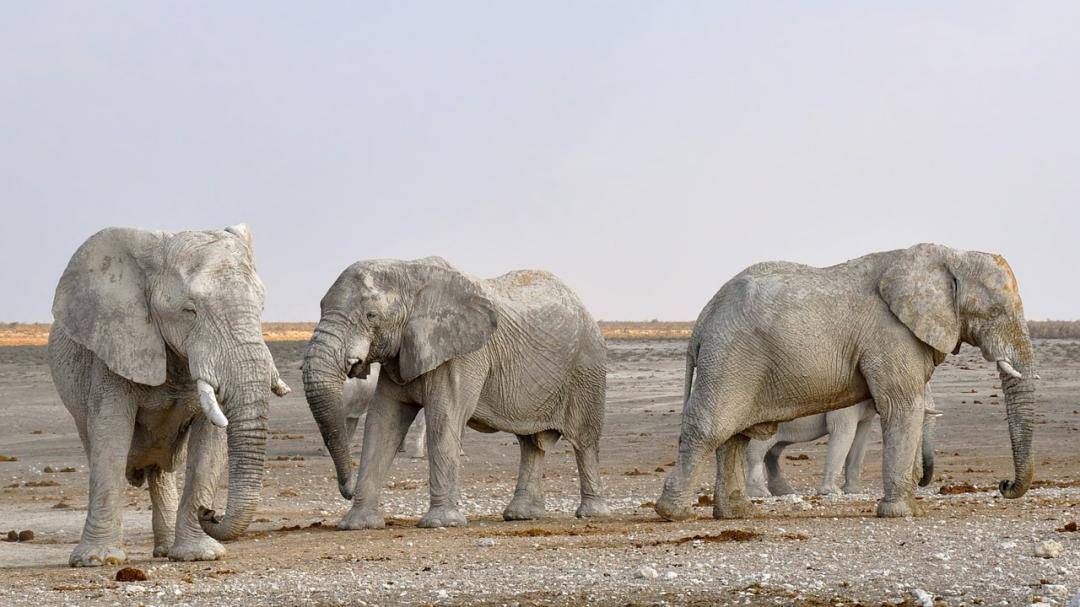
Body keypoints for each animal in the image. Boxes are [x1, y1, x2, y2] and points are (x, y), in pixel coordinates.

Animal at [48, 225, 290, 566]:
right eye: (190, 311)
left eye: (262, 308)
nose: (211, 512)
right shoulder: (115, 346)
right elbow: (111, 436)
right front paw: (96, 560)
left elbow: (209, 445)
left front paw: (200, 555)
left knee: (159, 470)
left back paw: (165, 551)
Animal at [302, 257, 609, 529]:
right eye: (321, 307)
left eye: (371, 315)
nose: (347, 490)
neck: (408, 271)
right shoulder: (400, 354)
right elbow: (383, 422)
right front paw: (357, 524)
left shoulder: (463, 355)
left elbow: (444, 417)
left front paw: (441, 523)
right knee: (531, 444)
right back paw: (521, 516)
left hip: (587, 367)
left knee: (584, 440)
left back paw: (590, 513)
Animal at [746, 388, 940, 497]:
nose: (920, 482)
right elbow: (843, 431)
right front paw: (832, 492)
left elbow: (860, 437)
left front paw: (852, 491)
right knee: (758, 450)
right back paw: (760, 494)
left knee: (772, 452)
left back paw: (784, 492)